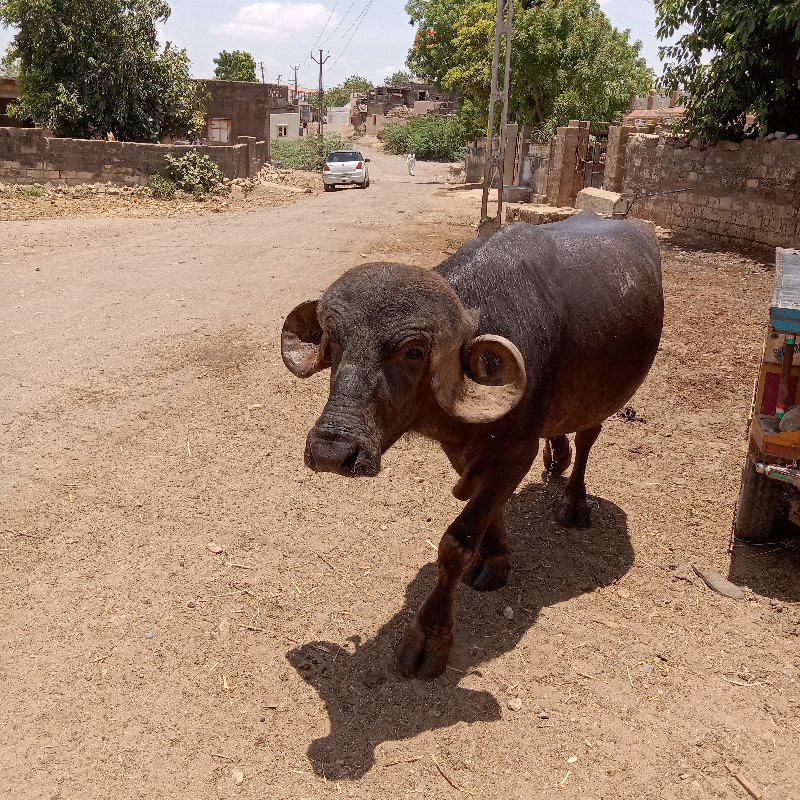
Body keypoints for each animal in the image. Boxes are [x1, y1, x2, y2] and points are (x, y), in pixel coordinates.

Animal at [282, 211, 664, 676]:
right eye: (334, 341)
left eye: (413, 352)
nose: (332, 451)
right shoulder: (466, 452)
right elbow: (490, 512)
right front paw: (495, 561)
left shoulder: (514, 454)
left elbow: (458, 541)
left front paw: (429, 639)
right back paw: (557, 458)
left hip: (603, 398)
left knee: (589, 436)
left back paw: (574, 501)